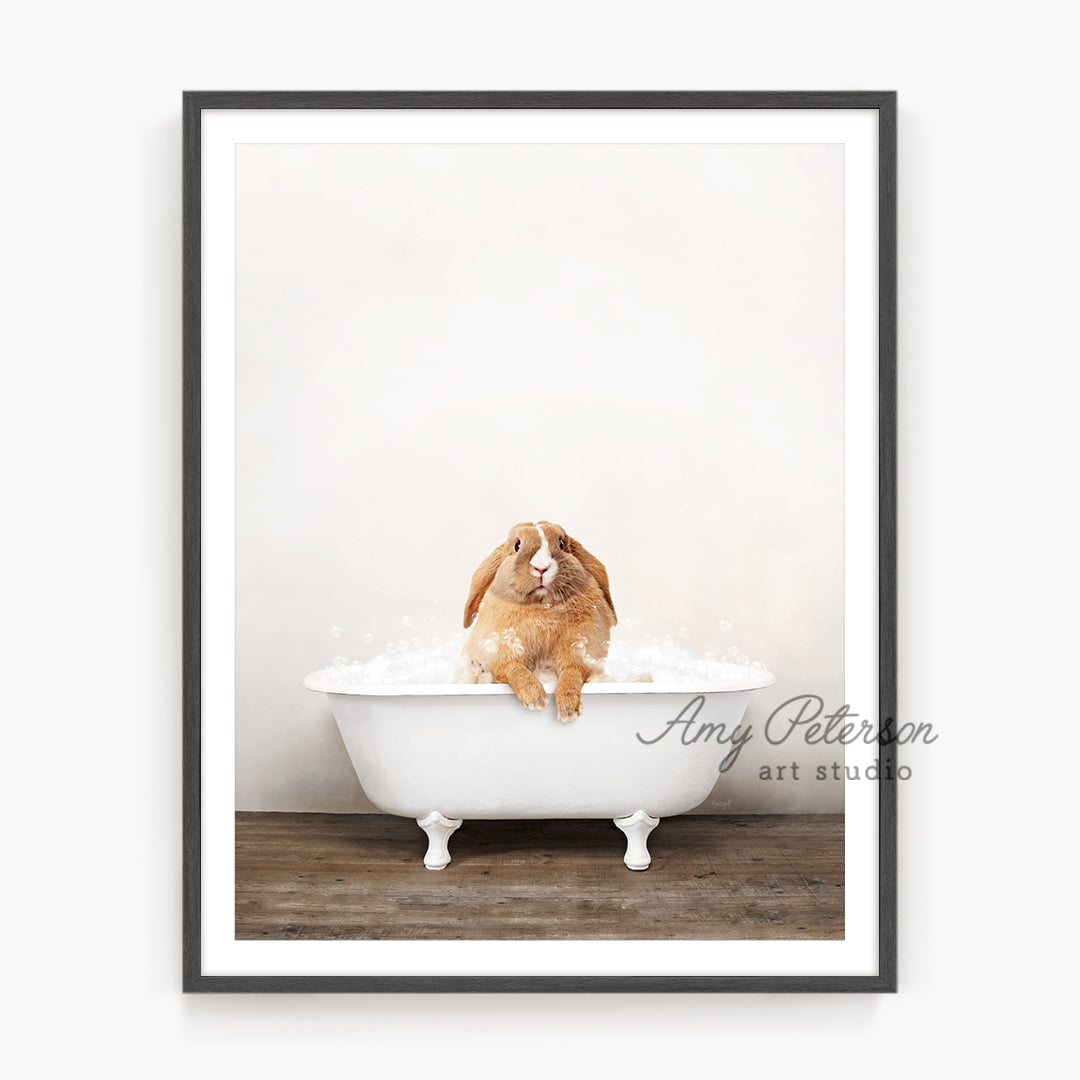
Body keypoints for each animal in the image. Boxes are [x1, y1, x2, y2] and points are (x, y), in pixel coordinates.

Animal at [455, 518, 617, 721]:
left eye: (561, 544)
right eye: (517, 545)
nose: (541, 567)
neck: (541, 607)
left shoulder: (580, 654)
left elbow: (572, 674)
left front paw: (568, 710)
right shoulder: (501, 654)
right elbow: (515, 669)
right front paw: (536, 699)